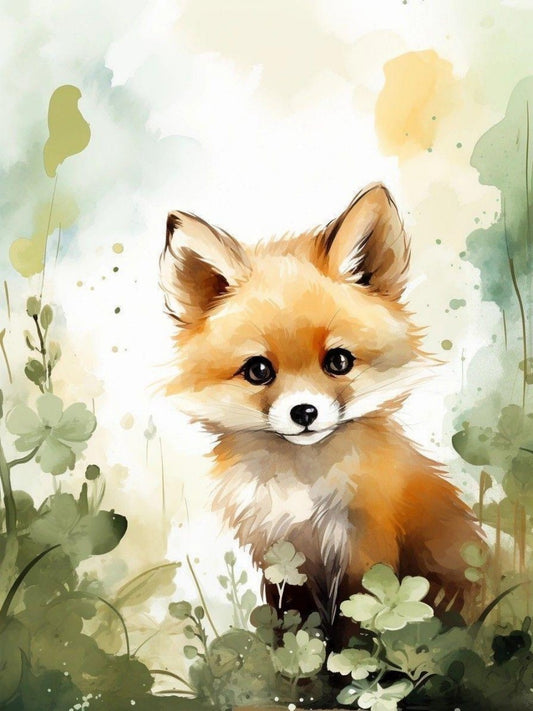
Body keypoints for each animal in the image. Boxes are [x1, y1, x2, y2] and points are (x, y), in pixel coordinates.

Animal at [159, 183, 484, 643]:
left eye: (339, 361)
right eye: (259, 370)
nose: (304, 412)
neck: (304, 487)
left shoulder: (365, 548)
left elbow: (357, 629)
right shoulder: (281, 556)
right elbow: (290, 627)